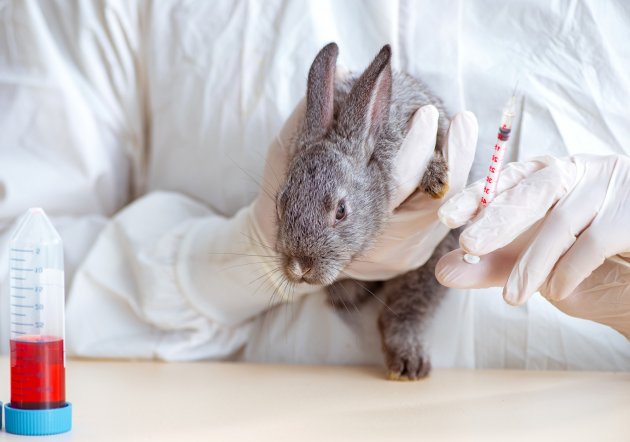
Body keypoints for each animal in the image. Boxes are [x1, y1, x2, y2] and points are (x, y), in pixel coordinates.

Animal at [274, 44, 456, 380]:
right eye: (281, 203)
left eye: (341, 211)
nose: (299, 266)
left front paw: (436, 179)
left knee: (405, 311)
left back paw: (408, 363)